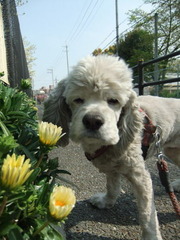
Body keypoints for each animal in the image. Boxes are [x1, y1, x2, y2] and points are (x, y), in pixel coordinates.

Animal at [43, 55, 179, 240]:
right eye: (78, 100)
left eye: (114, 101)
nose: (93, 120)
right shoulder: (111, 166)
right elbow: (112, 186)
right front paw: (105, 202)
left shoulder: (140, 176)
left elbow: (147, 214)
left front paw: (151, 236)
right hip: (172, 151)